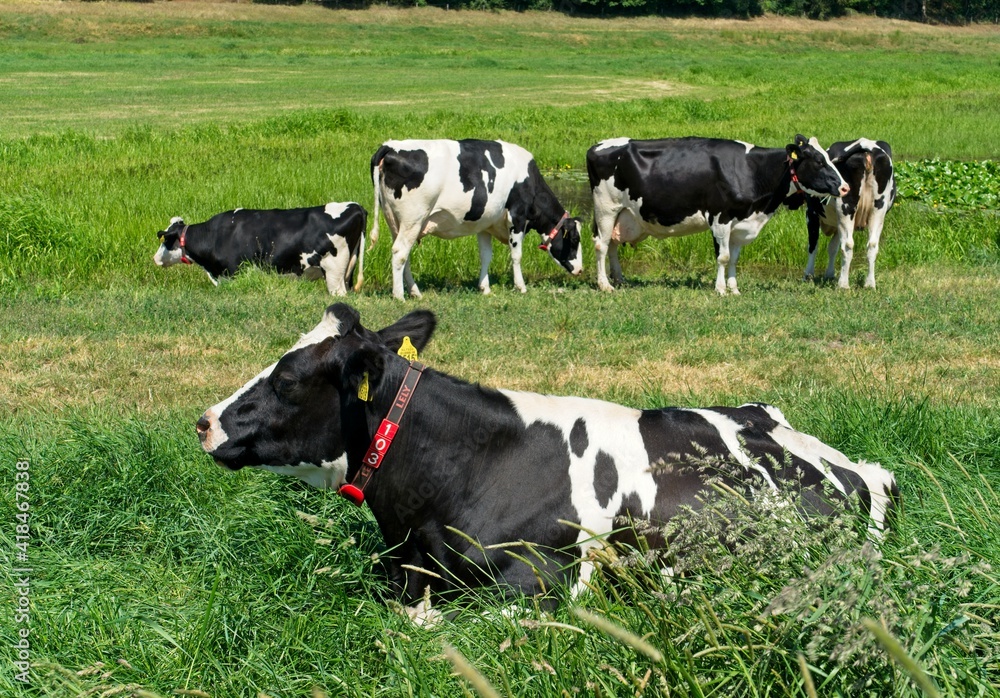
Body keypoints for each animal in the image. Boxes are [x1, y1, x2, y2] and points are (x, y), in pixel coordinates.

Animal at [153, 203, 367, 296]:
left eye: (165, 240)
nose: (155, 258)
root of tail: (355, 206)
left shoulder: (234, 273)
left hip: (334, 271)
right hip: (347, 269)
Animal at [369, 139, 584, 299]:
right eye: (574, 240)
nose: (580, 270)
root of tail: (390, 146)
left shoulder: (485, 224)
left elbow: (486, 256)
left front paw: (484, 288)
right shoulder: (517, 217)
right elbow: (516, 255)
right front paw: (520, 286)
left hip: (395, 221)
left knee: (403, 255)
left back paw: (415, 292)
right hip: (413, 218)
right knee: (400, 252)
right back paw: (399, 296)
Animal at [587, 135, 851, 295]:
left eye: (829, 158)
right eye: (818, 161)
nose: (845, 187)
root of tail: (597, 145)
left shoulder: (740, 223)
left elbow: (733, 258)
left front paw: (734, 289)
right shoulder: (720, 217)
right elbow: (723, 257)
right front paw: (721, 289)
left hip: (622, 214)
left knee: (612, 244)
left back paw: (619, 279)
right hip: (605, 208)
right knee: (601, 244)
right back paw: (605, 285)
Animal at [803, 139, 896, 289]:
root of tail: (867, 145)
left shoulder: (811, 213)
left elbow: (813, 246)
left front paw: (808, 275)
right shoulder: (837, 221)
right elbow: (832, 247)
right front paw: (829, 274)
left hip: (846, 208)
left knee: (847, 245)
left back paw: (843, 284)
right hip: (878, 209)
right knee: (872, 245)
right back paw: (870, 283)